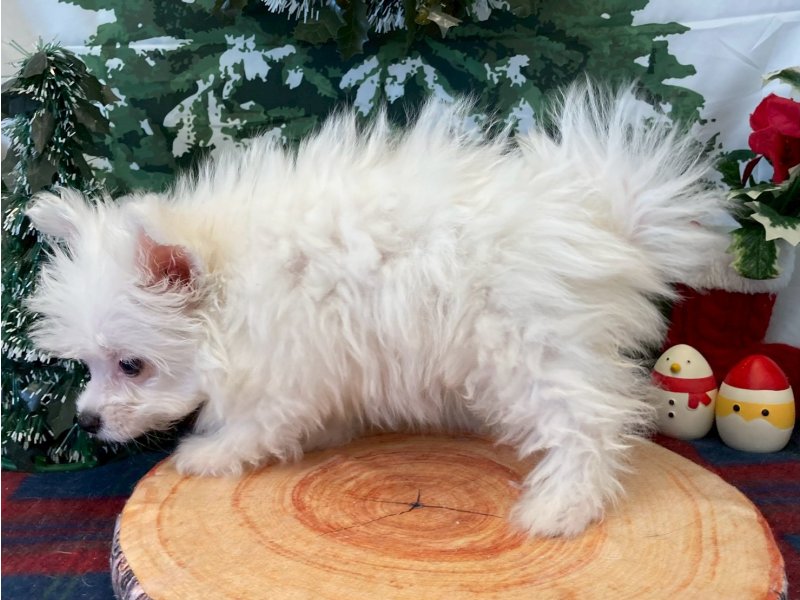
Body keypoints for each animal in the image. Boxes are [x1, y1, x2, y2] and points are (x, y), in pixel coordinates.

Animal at [26, 83, 729, 537]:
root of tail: (608, 226)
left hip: (535, 349)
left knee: (591, 423)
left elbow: (258, 423)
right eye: (87, 365)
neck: (238, 276)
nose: (85, 421)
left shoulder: (286, 362)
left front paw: (211, 455)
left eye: (132, 365)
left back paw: (559, 510)